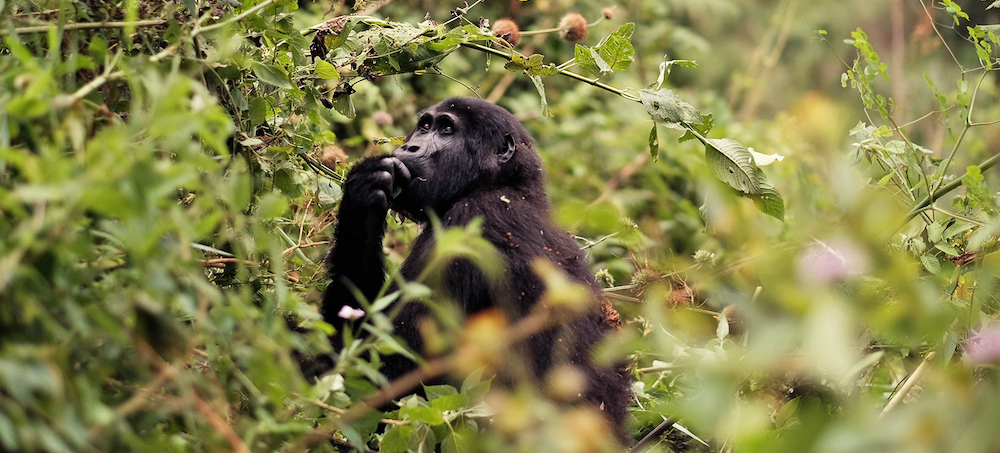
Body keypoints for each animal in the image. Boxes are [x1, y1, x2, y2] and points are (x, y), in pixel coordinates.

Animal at [324, 97, 628, 436]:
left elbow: (389, 369)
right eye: (425, 126)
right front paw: (363, 196)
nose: (409, 146)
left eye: (446, 129)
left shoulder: (471, 222)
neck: (506, 185)